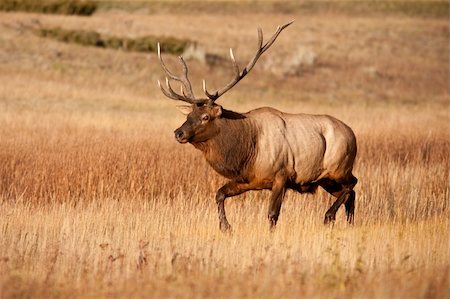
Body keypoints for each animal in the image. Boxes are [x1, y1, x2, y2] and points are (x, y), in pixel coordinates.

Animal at [156, 21, 356, 232]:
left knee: (353, 185)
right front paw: (226, 226)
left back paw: (329, 216)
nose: (178, 133)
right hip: (326, 179)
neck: (246, 152)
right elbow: (219, 194)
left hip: (339, 168)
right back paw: (349, 222)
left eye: (205, 116)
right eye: (188, 115)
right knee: (351, 195)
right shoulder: (248, 179)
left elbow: (272, 214)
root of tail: (352, 134)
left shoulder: (281, 176)